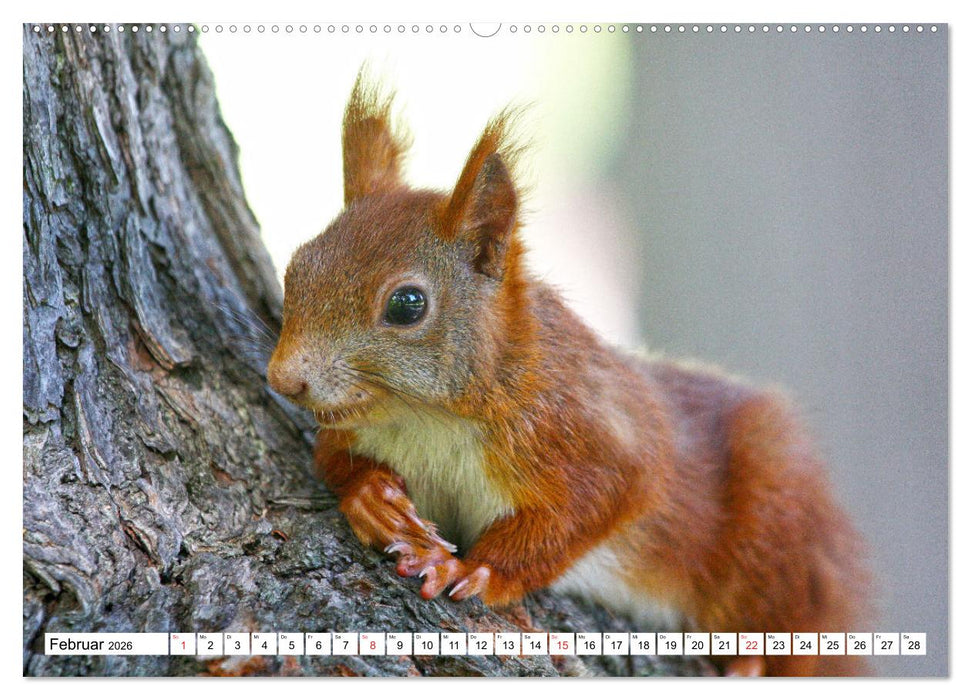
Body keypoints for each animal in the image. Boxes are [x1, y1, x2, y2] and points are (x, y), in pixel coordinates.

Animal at [267, 70, 872, 677]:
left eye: (407, 305)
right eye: (296, 267)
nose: (283, 379)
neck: (428, 419)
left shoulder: (590, 432)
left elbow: (587, 508)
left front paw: (476, 569)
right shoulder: (356, 426)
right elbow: (330, 459)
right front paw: (372, 497)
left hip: (777, 523)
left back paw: (757, 660)